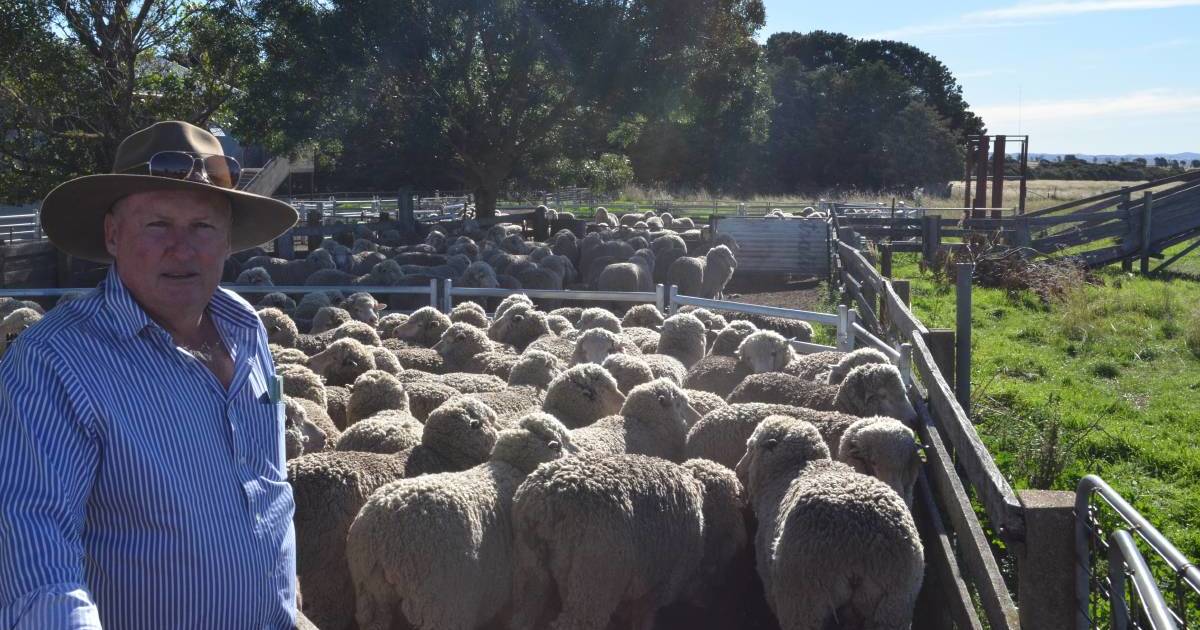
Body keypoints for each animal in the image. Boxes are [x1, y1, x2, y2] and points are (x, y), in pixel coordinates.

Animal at [348, 412, 576, 628]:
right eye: (563, 441)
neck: (513, 467)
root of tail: (382, 534)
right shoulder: (529, 572)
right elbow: (525, 612)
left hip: (370, 594)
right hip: (441, 602)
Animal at [734, 415, 921, 628]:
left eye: (751, 446)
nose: (737, 470)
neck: (800, 466)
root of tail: (860, 544)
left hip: (805, 601)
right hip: (893, 606)